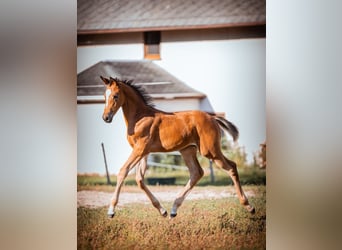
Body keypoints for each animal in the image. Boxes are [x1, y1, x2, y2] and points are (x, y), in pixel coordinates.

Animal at [99, 75, 254, 217]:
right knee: (197, 172)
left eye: (115, 96)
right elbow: (139, 179)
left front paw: (111, 210)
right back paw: (173, 209)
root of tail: (212, 118)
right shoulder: (143, 152)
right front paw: (162, 210)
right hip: (187, 150)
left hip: (210, 151)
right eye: (104, 96)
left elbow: (123, 171)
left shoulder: (140, 149)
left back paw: (248, 206)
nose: (106, 118)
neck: (140, 117)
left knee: (231, 167)